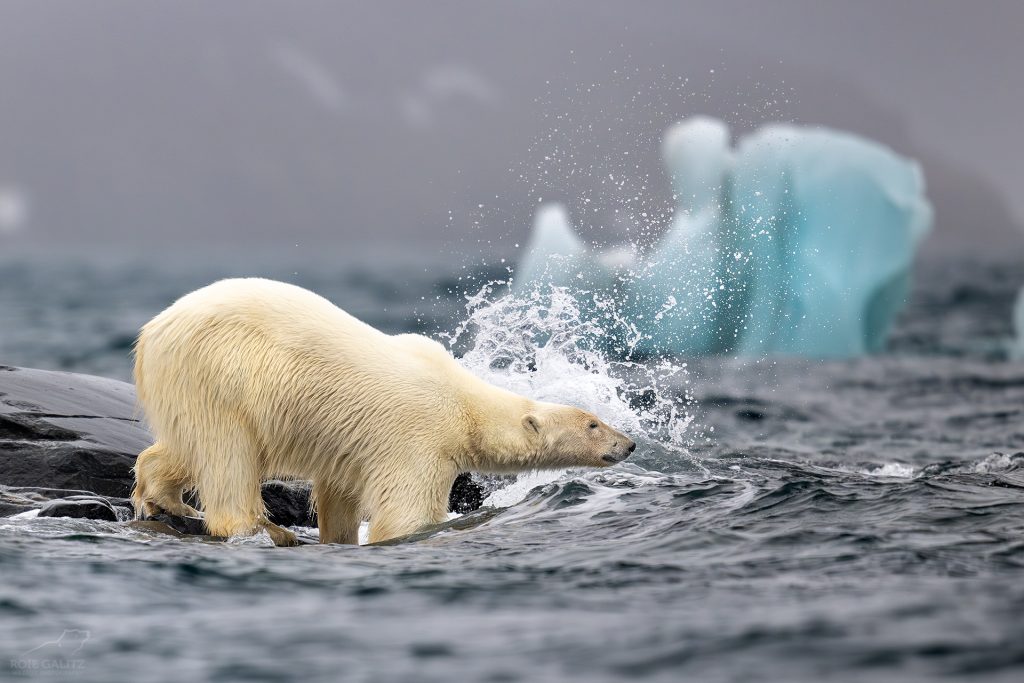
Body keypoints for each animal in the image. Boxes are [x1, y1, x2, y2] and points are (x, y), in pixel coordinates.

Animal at [132, 274, 634, 548]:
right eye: (593, 424)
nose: (628, 443)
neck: (464, 403)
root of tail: (151, 332)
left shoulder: (354, 446)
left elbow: (341, 493)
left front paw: (339, 537)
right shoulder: (420, 438)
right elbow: (406, 513)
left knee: (186, 446)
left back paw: (165, 499)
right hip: (221, 372)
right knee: (228, 453)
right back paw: (266, 529)